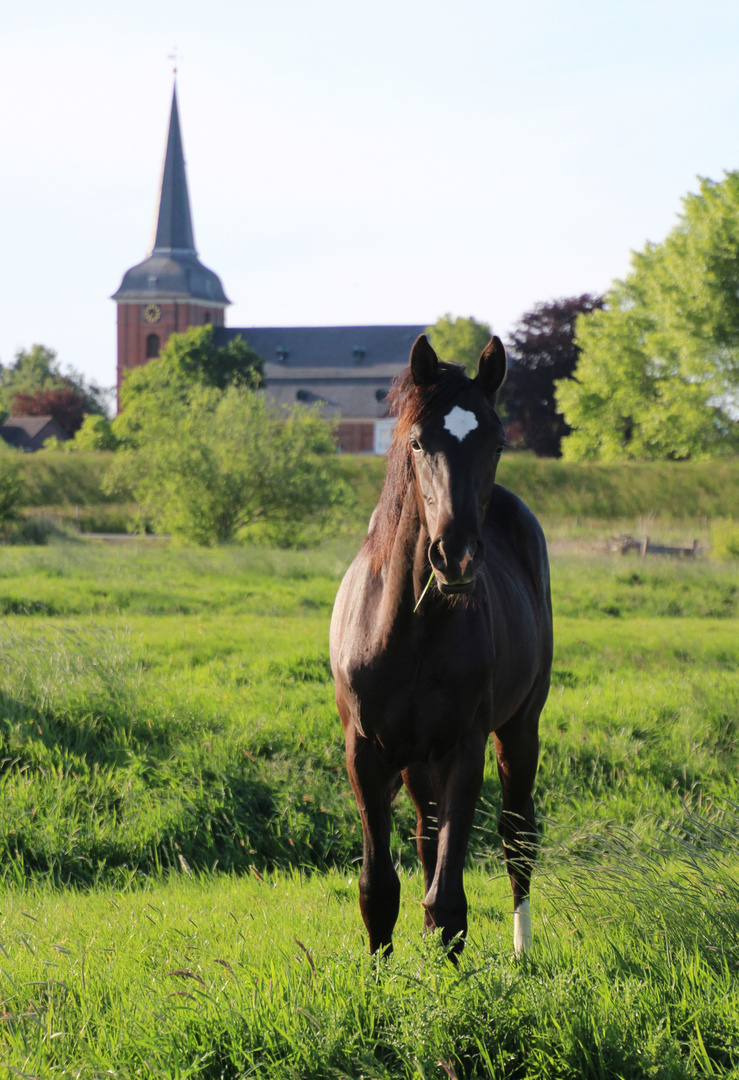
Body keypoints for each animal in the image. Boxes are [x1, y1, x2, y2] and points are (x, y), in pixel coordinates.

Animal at [332, 332, 551, 959]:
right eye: (417, 441)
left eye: (497, 442)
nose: (456, 557)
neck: (408, 630)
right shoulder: (365, 751)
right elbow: (380, 889)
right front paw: (379, 977)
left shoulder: (464, 747)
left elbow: (450, 899)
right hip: (414, 759)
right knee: (429, 836)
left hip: (519, 728)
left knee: (517, 834)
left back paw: (523, 950)